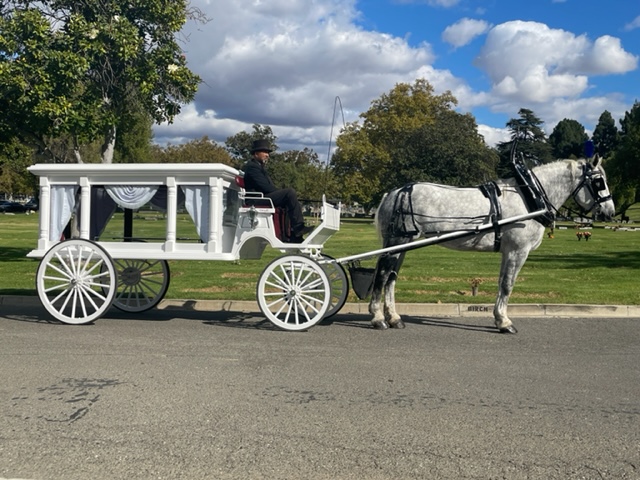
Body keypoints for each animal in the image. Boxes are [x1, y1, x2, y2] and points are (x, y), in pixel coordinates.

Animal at [370, 156, 616, 332]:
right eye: (599, 181)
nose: (610, 212)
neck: (529, 197)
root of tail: (394, 192)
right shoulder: (518, 251)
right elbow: (507, 285)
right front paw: (505, 322)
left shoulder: (508, 252)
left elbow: (501, 283)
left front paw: (499, 318)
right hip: (397, 240)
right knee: (382, 274)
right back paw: (378, 317)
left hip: (403, 244)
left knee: (391, 278)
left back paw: (394, 318)